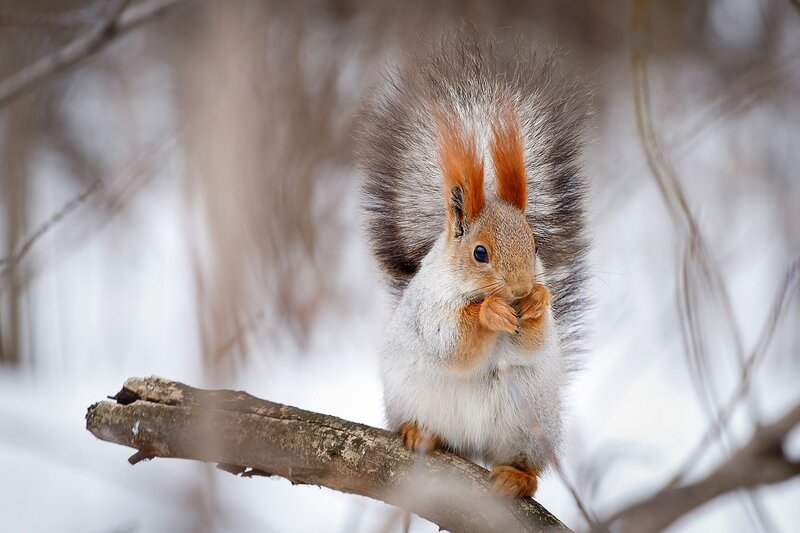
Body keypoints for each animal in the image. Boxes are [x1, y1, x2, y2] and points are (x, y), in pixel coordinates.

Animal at [355, 27, 590, 498]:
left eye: (535, 245)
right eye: (480, 253)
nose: (520, 289)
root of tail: (474, 449)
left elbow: (531, 344)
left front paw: (538, 302)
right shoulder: (430, 310)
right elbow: (451, 343)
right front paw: (490, 312)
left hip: (529, 425)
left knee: (525, 464)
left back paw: (517, 476)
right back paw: (419, 433)